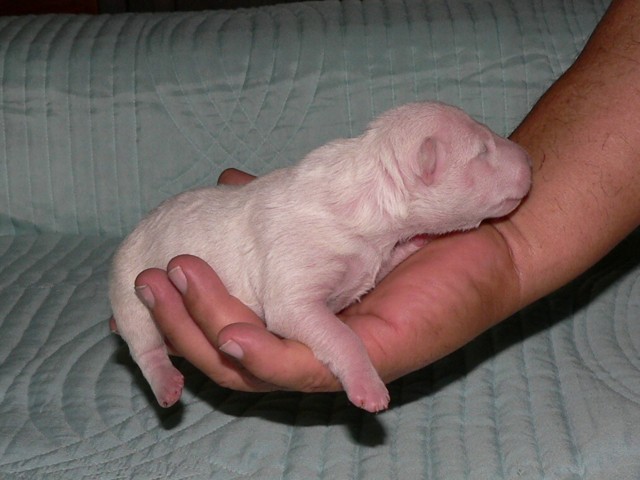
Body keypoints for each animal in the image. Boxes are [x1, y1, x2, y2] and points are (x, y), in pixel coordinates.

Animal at [109, 102, 531, 413]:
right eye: (483, 151)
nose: (529, 161)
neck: (370, 191)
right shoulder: (294, 278)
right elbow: (335, 332)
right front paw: (368, 387)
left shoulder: (374, 256)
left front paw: (418, 241)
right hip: (130, 289)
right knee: (143, 345)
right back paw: (165, 382)